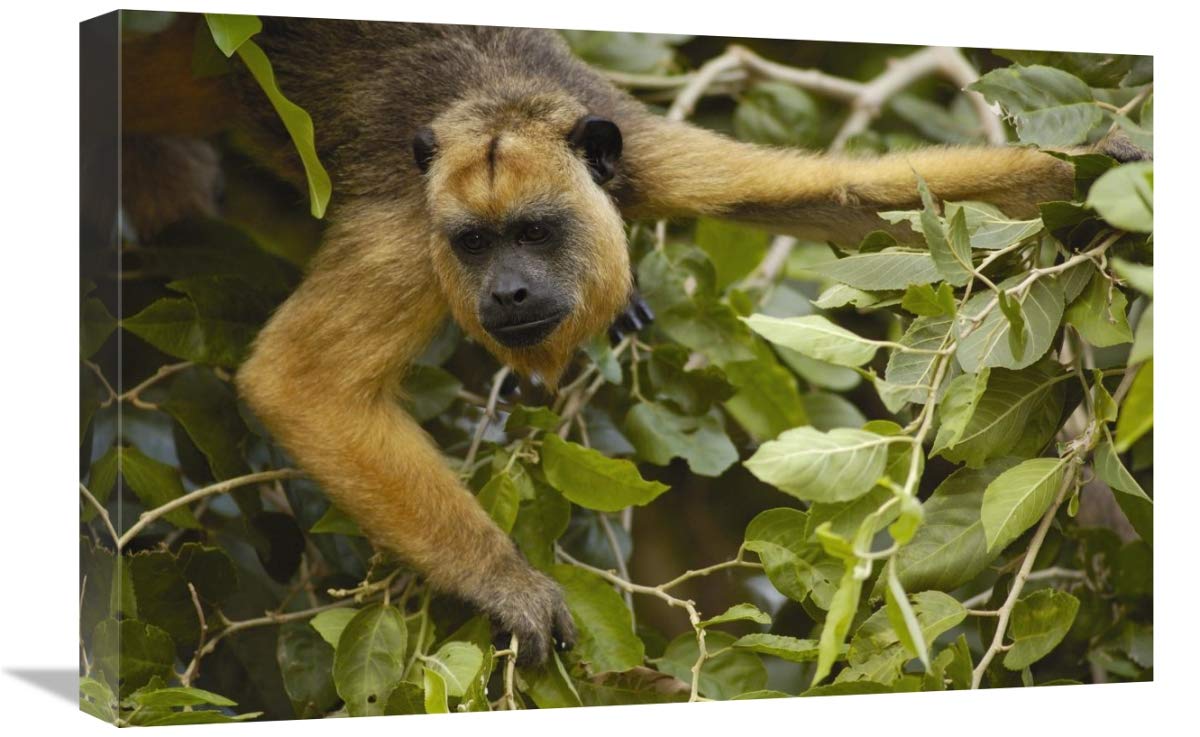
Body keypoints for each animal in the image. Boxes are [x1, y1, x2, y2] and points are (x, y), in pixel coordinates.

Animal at [113, 16, 1136, 667]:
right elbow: (301, 382)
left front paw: (1096, 175)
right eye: (474, 244)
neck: (500, 107)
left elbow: (839, 197)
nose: (507, 290)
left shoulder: (637, 157)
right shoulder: (411, 230)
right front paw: (506, 585)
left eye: (536, 232)